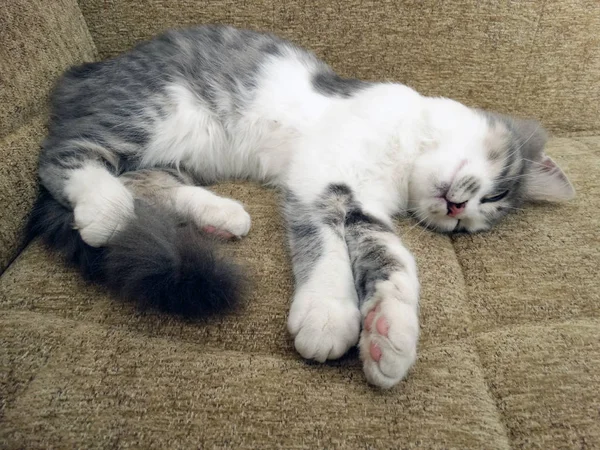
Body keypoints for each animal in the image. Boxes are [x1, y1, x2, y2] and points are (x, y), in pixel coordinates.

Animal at [30, 25, 576, 390]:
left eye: (476, 222)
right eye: (496, 191)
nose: (459, 210)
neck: (402, 161)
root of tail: (88, 72)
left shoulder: (363, 206)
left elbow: (395, 261)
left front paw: (387, 332)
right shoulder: (320, 179)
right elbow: (325, 248)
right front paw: (328, 313)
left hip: (179, 151)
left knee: (145, 179)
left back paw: (220, 216)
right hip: (151, 111)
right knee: (63, 159)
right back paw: (105, 208)